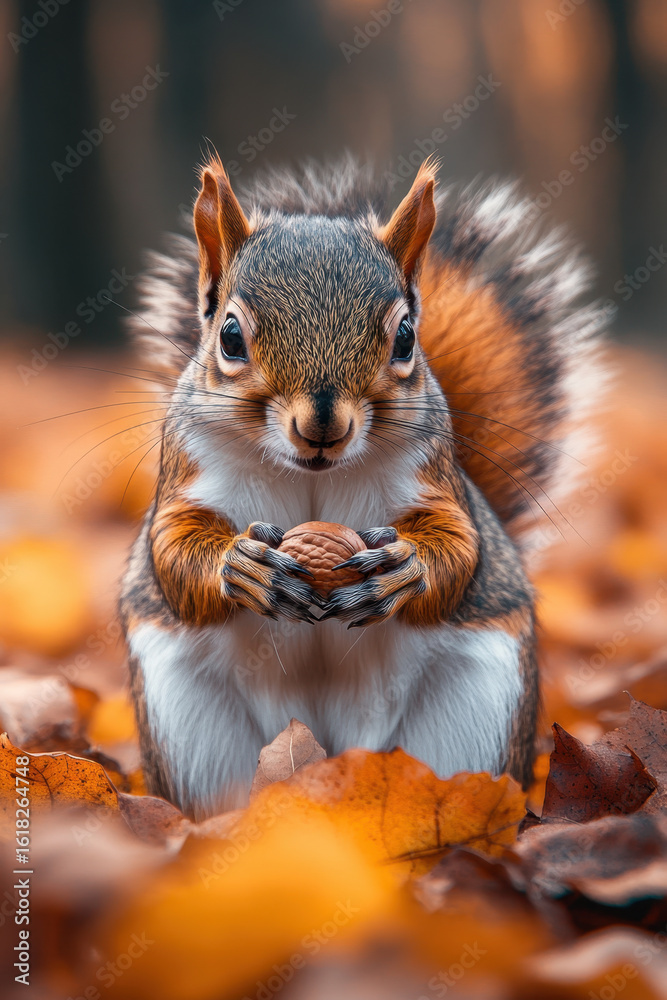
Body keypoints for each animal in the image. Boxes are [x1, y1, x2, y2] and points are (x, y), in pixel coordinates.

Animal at [120, 153, 605, 820]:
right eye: (230, 337)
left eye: (405, 337)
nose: (322, 425)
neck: (310, 475)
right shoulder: (186, 475)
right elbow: (172, 552)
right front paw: (238, 566)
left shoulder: (437, 479)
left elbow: (460, 547)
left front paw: (407, 571)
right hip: (194, 731)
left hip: (472, 715)